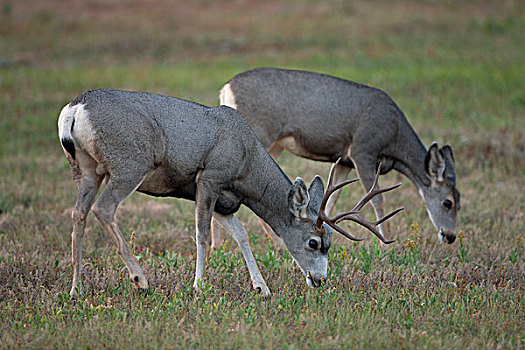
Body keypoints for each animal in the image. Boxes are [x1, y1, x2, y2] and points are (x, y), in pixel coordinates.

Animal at [57, 89, 402, 296]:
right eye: (314, 242)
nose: (319, 280)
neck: (246, 164)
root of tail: (74, 111)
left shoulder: (226, 202)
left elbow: (242, 236)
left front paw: (262, 288)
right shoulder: (210, 177)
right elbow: (202, 235)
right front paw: (198, 287)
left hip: (86, 170)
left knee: (78, 214)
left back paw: (76, 289)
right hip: (129, 164)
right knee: (103, 209)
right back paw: (140, 279)